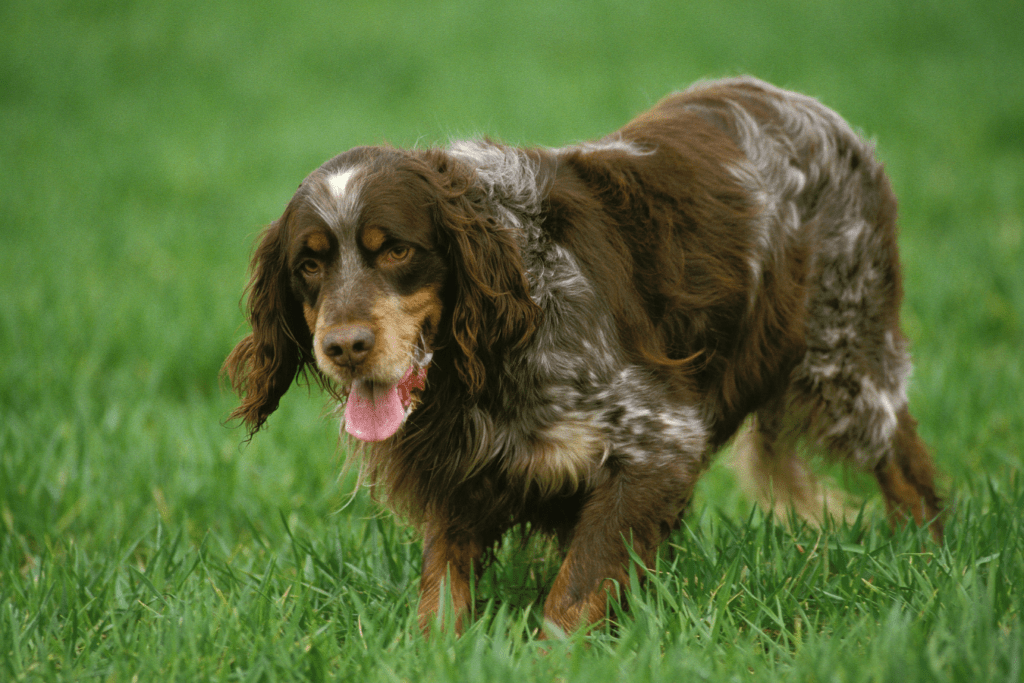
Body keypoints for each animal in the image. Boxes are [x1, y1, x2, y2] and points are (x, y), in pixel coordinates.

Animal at [224, 77, 942, 638]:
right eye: (309, 264)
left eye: (397, 249)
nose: (345, 347)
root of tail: (818, 111)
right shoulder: (463, 469)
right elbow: (442, 591)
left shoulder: (657, 442)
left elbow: (572, 596)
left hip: (845, 354)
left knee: (908, 467)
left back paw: (928, 558)